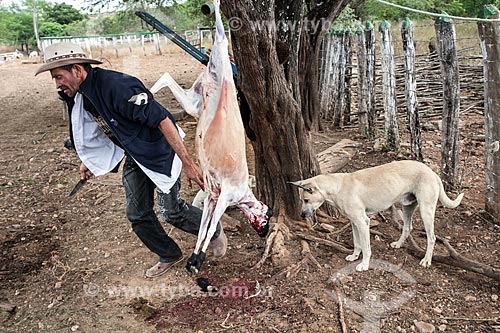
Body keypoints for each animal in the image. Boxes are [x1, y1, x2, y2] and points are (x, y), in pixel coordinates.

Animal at [292, 160, 462, 272]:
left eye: (306, 200)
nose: (301, 215)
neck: (338, 187)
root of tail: (432, 172)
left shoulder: (362, 222)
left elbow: (366, 247)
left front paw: (364, 265)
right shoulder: (354, 223)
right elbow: (357, 243)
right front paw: (354, 256)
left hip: (426, 211)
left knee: (432, 237)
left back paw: (426, 260)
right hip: (407, 207)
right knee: (408, 228)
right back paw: (398, 244)